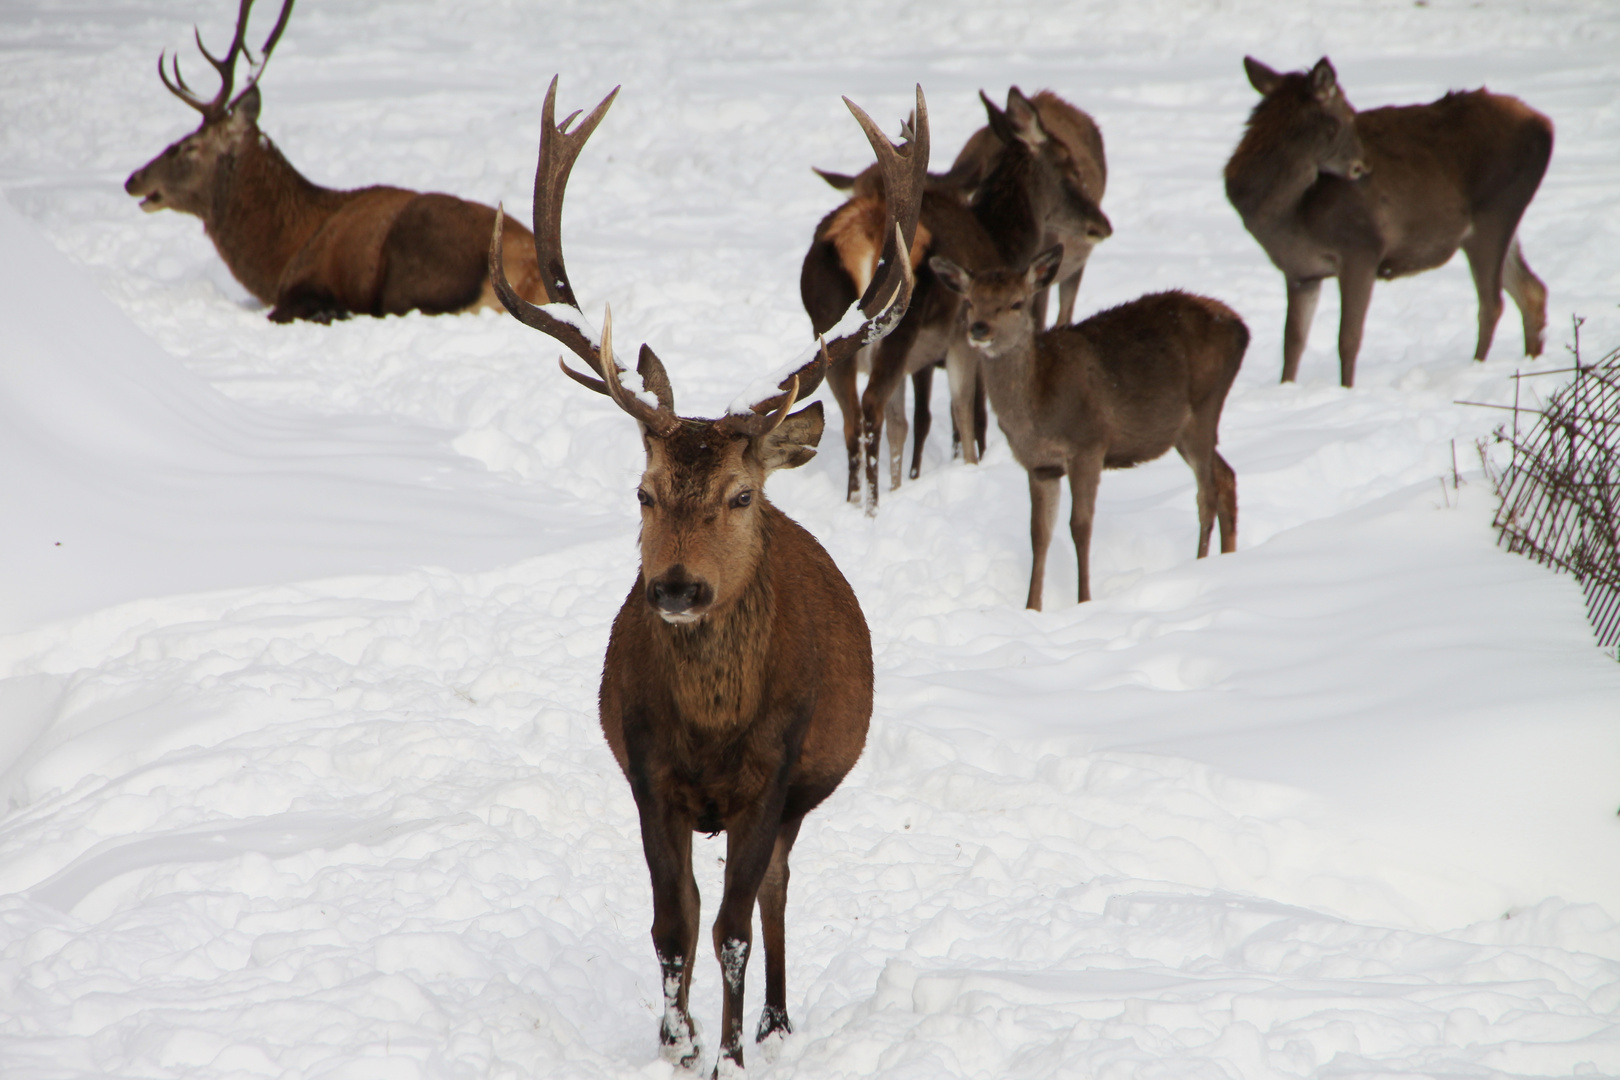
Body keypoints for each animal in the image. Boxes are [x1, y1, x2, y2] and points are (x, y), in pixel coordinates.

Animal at [121, 0, 550, 320]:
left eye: (188, 146)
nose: (133, 179)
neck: (282, 254)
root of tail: (533, 276)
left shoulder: (310, 281)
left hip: (419, 260)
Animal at [489, 78, 926, 1080]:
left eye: (739, 495)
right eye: (644, 491)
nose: (678, 589)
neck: (715, 727)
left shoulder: (776, 769)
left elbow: (730, 927)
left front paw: (725, 1050)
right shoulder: (648, 769)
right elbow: (671, 925)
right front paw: (676, 1042)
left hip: (803, 792)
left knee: (773, 892)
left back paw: (774, 1022)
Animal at [800, 87, 1114, 511]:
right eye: (1068, 167)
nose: (1101, 224)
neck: (1002, 242)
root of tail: (859, 234)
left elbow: (904, 426)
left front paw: (901, 486)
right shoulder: (965, 340)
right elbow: (966, 413)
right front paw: (968, 467)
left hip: (829, 332)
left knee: (853, 419)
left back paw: (854, 503)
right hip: (899, 328)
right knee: (871, 407)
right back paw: (872, 509)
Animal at [933, 247, 1244, 612]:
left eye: (1017, 303)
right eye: (969, 301)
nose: (979, 329)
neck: (1039, 406)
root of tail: (1241, 328)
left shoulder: (1089, 445)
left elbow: (1080, 526)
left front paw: (1083, 600)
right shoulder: (1039, 464)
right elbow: (1039, 533)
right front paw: (1032, 608)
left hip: (1204, 406)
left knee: (1206, 492)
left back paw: (1200, 565)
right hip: (1182, 431)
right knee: (1226, 475)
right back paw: (1227, 559)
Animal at [1224, 57, 1555, 388]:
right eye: (1348, 114)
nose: (1365, 165)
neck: (1288, 215)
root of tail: (1546, 124)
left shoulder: (1362, 248)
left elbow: (1348, 338)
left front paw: (1347, 389)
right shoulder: (1300, 271)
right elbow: (1292, 343)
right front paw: (1286, 388)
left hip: (1493, 215)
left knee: (1492, 304)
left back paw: (1476, 367)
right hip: (1503, 225)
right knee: (1532, 291)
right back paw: (1531, 361)